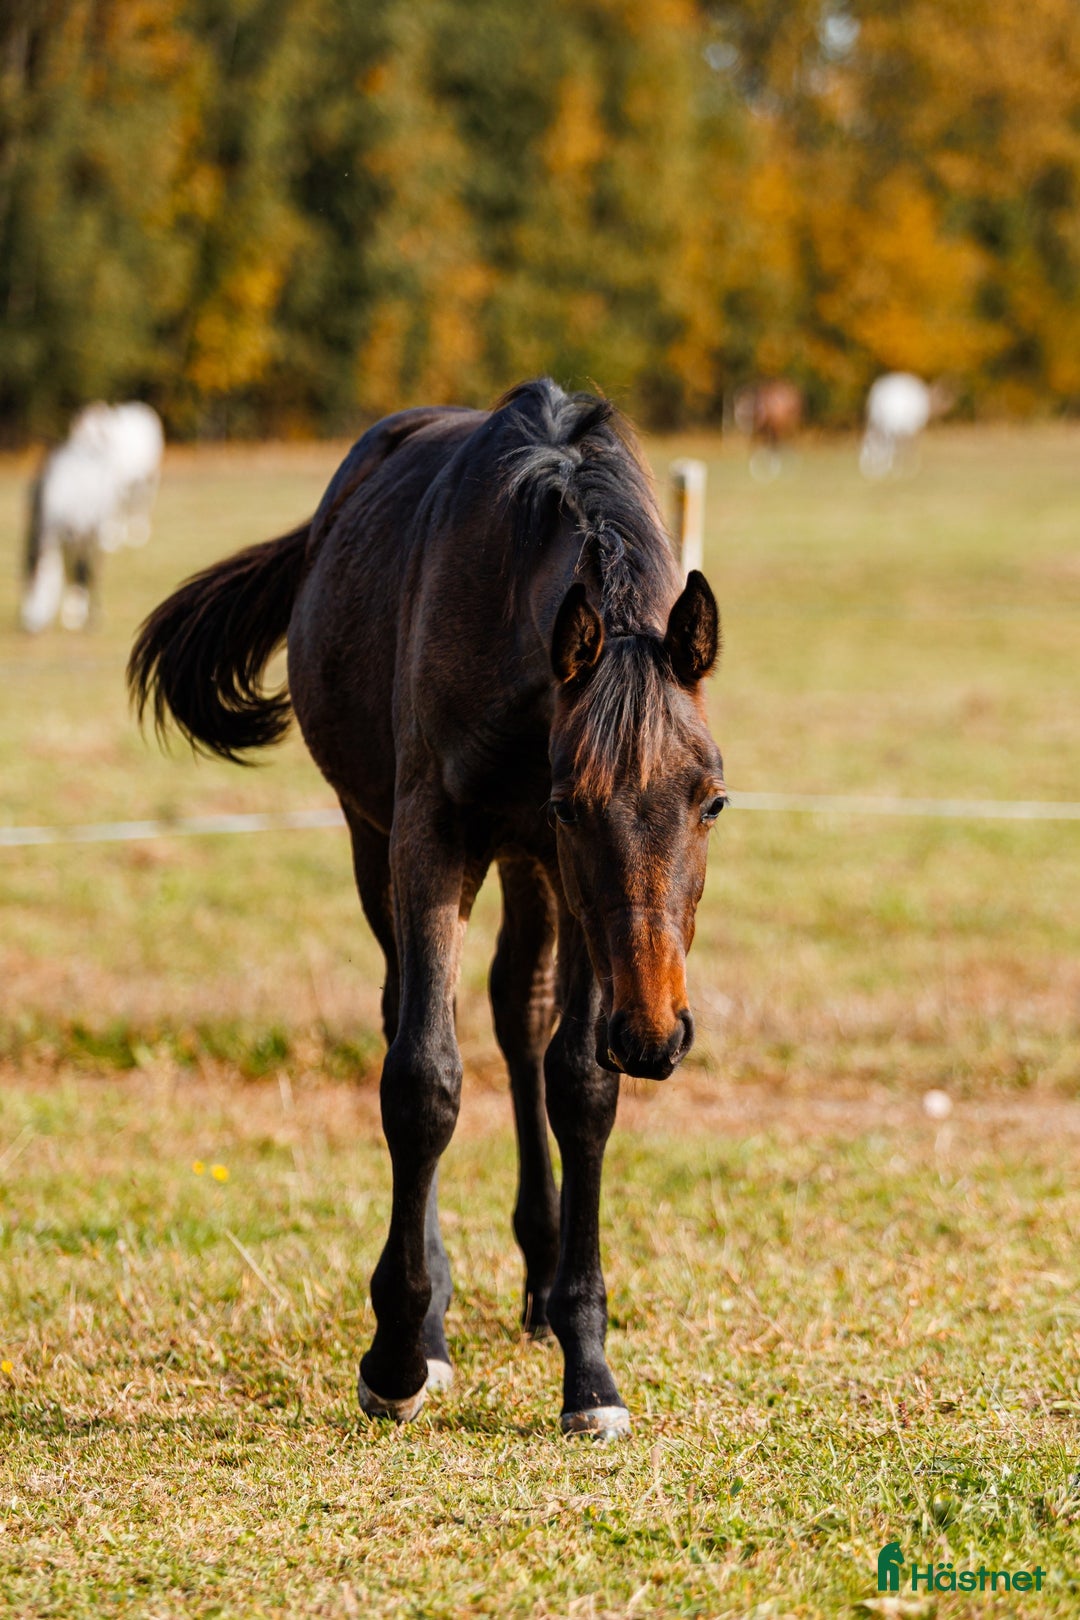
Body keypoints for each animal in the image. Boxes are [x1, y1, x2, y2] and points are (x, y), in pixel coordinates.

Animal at [20, 402, 163, 633]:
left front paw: (78, 617)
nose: (29, 624)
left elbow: (82, 570)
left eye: (41, 583)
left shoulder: (84, 533)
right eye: (25, 584)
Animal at [128, 379, 726, 1439]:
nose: (658, 1032)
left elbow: (582, 1082)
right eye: (575, 804)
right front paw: (401, 1354)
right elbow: (424, 1080)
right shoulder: (437, 839)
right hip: (377, 838)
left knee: (523, 1018)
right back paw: (439, 1320)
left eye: (714, 801)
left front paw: (588, 1366)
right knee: (414, 1012)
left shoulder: (568, 886)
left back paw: (537, 1280)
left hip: (534, 879)